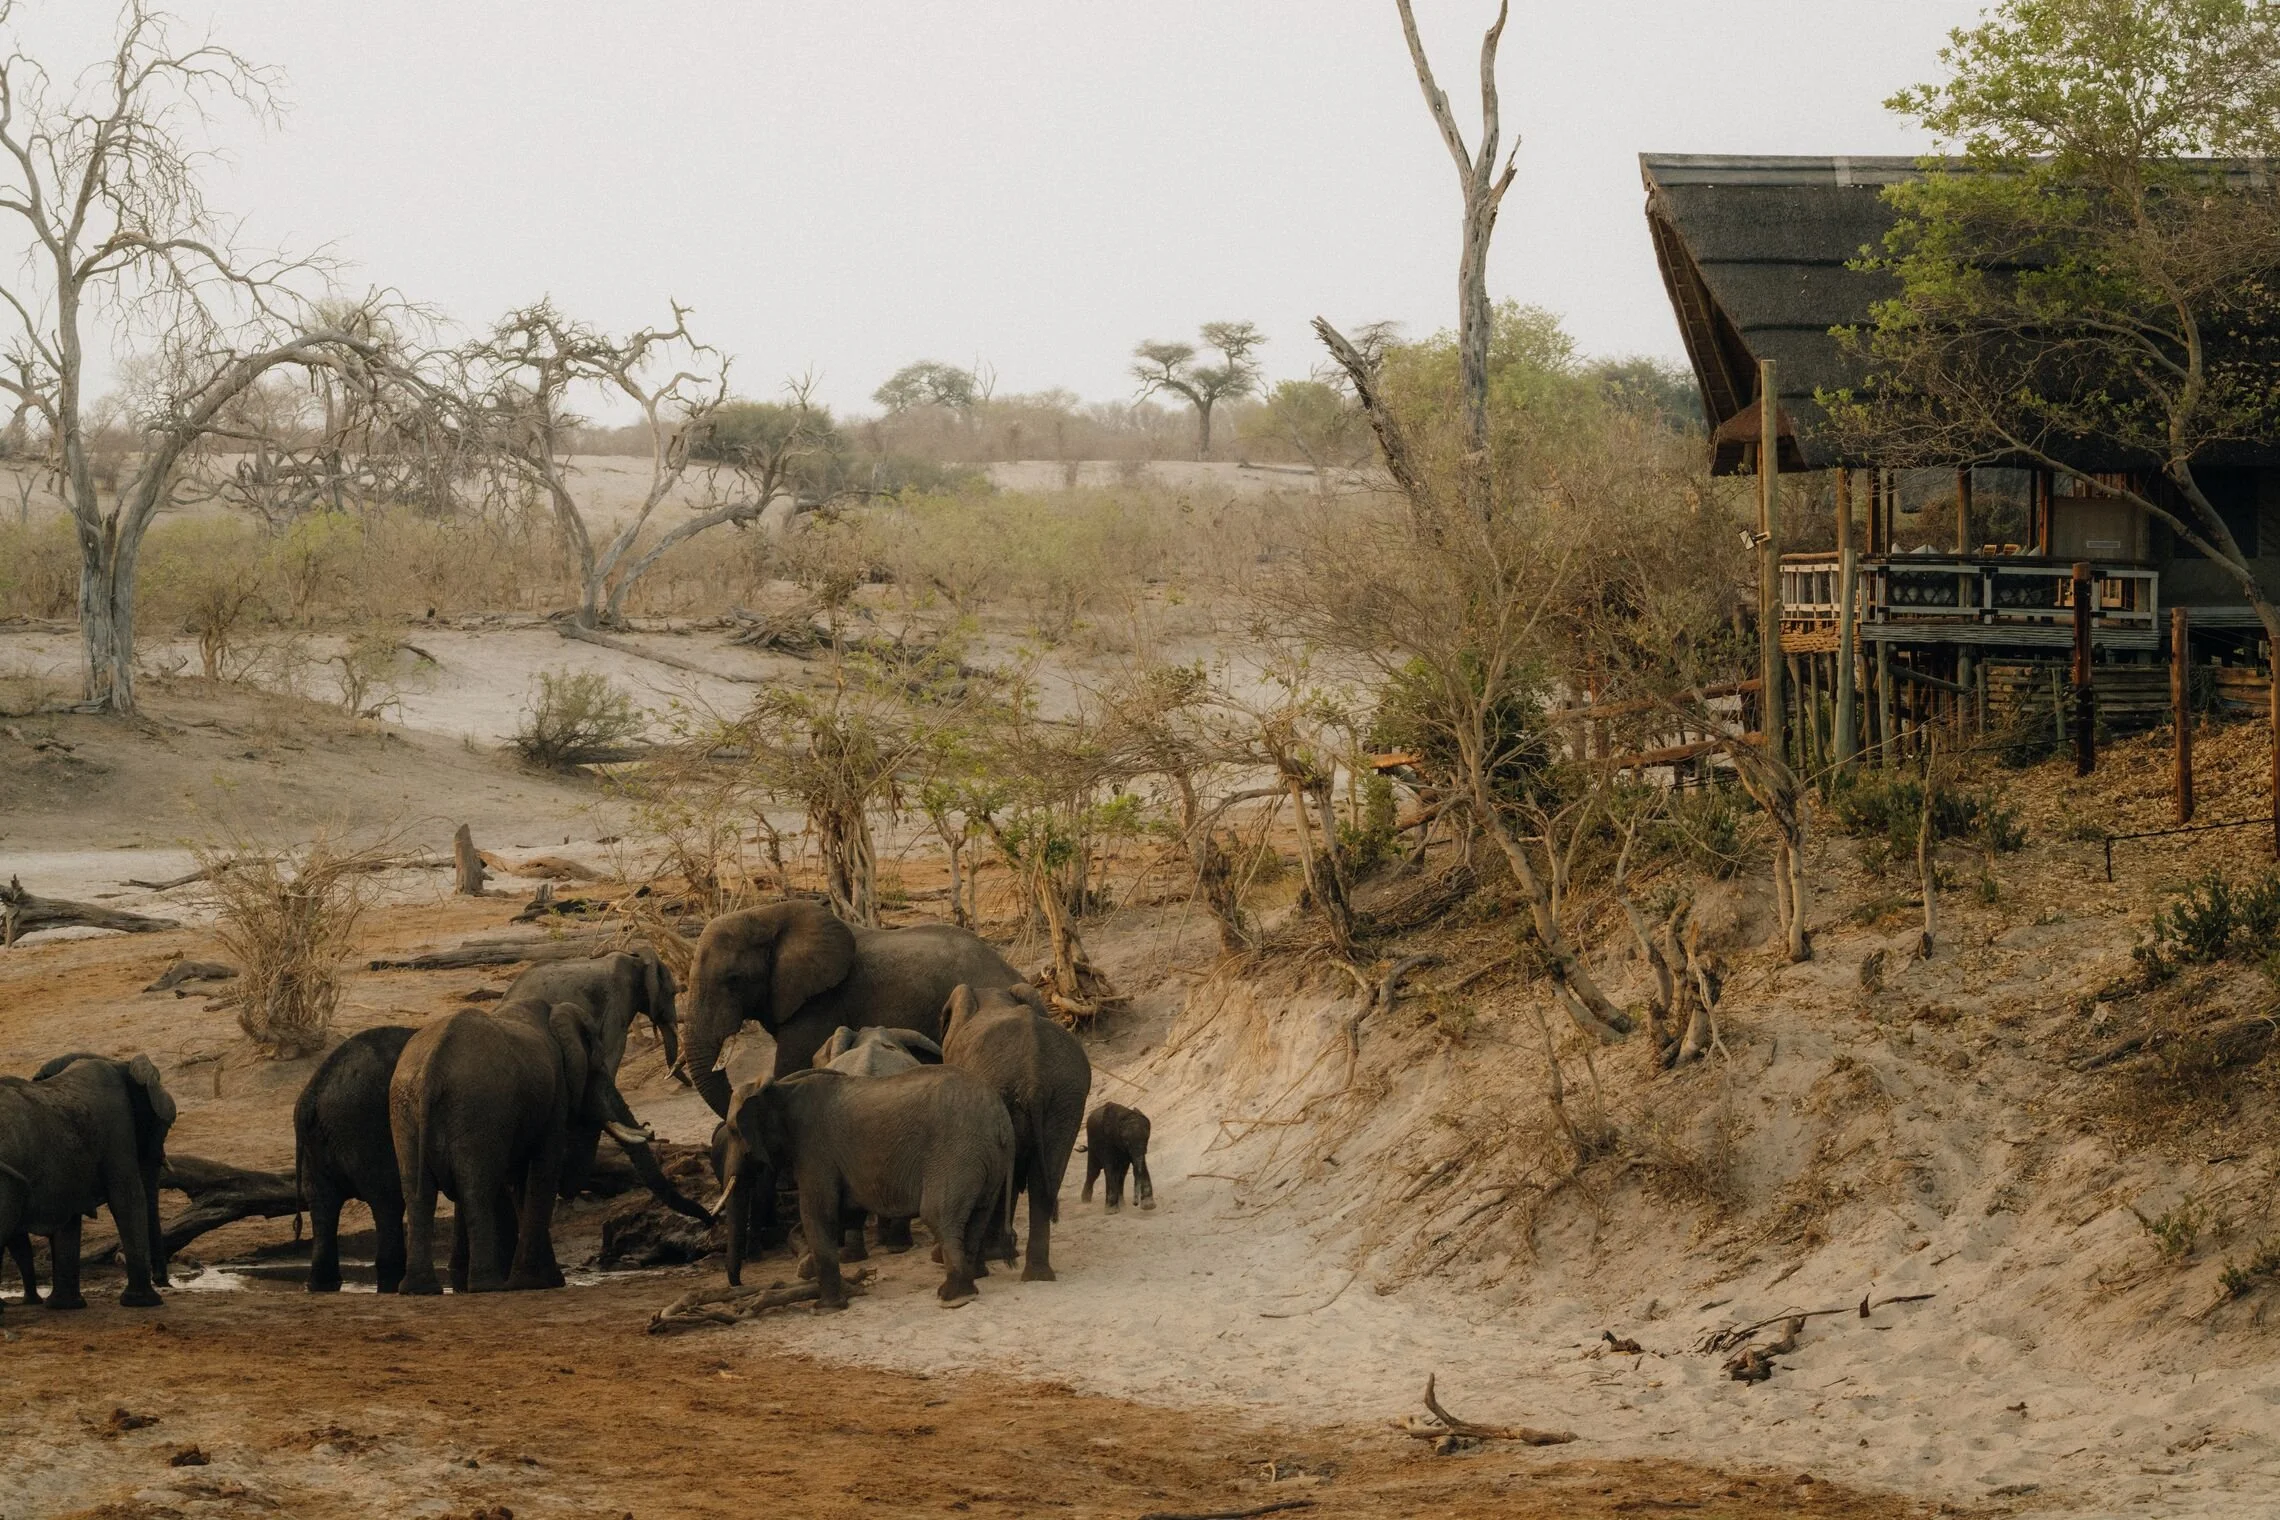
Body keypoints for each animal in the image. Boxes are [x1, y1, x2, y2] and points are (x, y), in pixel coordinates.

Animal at [0, 1053, 176, 1311]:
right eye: (164, 1127)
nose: (164, 1282)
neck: (117, 1062)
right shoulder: (118, 1129)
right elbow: (128, 1197)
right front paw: (144, 1302)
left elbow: (70, 1219)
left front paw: (64, 1306)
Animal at [295, 1026, 416, 1293]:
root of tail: (313, 1093)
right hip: (365, 1130)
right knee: (387, 1201)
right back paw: (392, 1280)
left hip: (317, 1143)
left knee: (321, 1200)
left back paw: (322, 1284)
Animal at [390, 1000, 707, 1295]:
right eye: (598, 1068)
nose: (709, 1219)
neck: (555, 1015)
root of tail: (433, 1068)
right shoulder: (555, 1097)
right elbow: (543, 1172)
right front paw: (537, 1283)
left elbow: (521, 1181)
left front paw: (545, 1280)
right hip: (477, 1108)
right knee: (475, 1189)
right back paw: (487, 1286)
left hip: (405, 1111)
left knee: (418, 1194)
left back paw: (419, 1289)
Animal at [713, 1065, 1013, 1309]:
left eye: (734, 1132)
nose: (738, 1286)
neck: (780, 1087)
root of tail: (1001, 1120)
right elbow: (847, 1211)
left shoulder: (814, 1151)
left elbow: (817, 1213)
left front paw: (825, 1308)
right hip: (986, 1160)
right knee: (978, 1216)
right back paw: (970, 1285)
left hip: (956, 1154)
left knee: (938, 1215)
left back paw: (953, 1298)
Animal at [941, 984, 1091, 1282]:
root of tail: (1034, 1076)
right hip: (1067, 1098)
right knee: (1044, 1180)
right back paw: (1037, 1275)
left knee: (1000, 1180)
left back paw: (982, 1269)